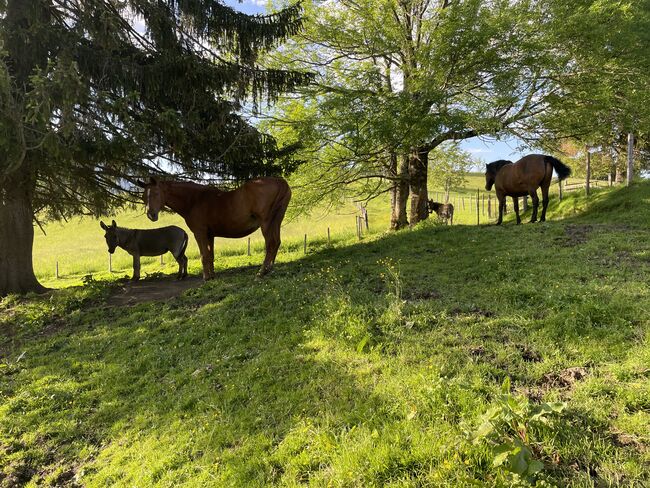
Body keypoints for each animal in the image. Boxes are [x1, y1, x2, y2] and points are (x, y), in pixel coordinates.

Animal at [139, 178, 292, 278]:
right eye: (143, 197)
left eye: (156, 193)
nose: (151, 215)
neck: (194, 200)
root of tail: (280, 181)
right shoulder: (209, 235)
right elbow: (210, 255)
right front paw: (212, 275)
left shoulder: (199, 233)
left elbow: (203, 255)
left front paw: (206, 278)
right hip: (276, 220)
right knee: (276, 243)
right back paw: (269, 269)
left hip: (266, 222)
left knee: (270, 243)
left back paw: (262, 271)